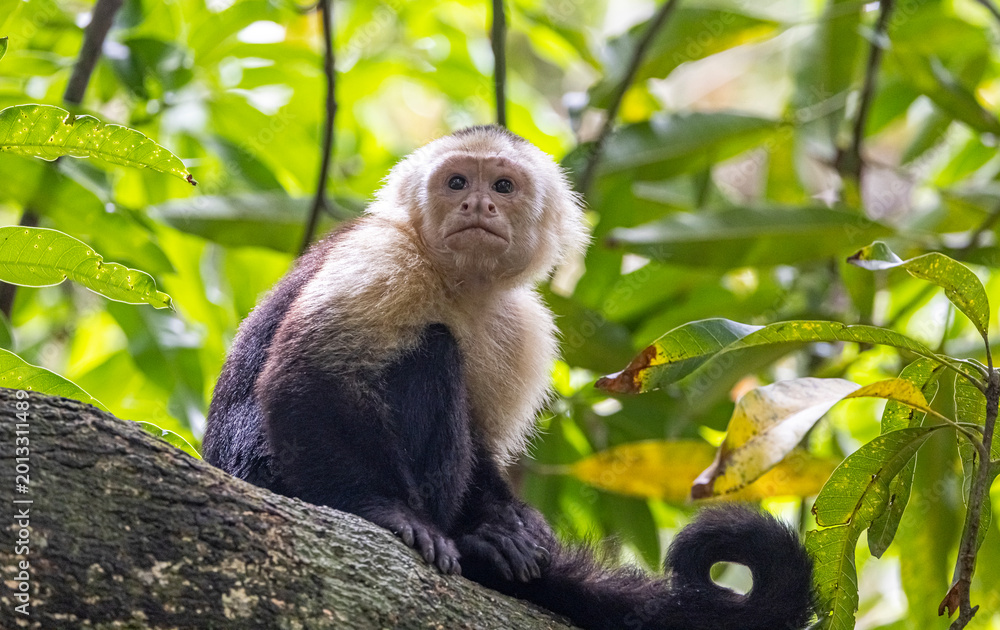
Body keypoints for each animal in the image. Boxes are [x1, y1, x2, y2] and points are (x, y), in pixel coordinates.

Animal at [202, 125, 814, 630]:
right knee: (430, 349)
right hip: (264, 469)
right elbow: (308, 378)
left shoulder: (525, 326)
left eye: (502, 185)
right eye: (456, 182)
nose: (477, 202)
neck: (456, 282)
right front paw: (382, 512)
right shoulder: (384, 257)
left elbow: (482, 443)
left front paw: (509, 525)